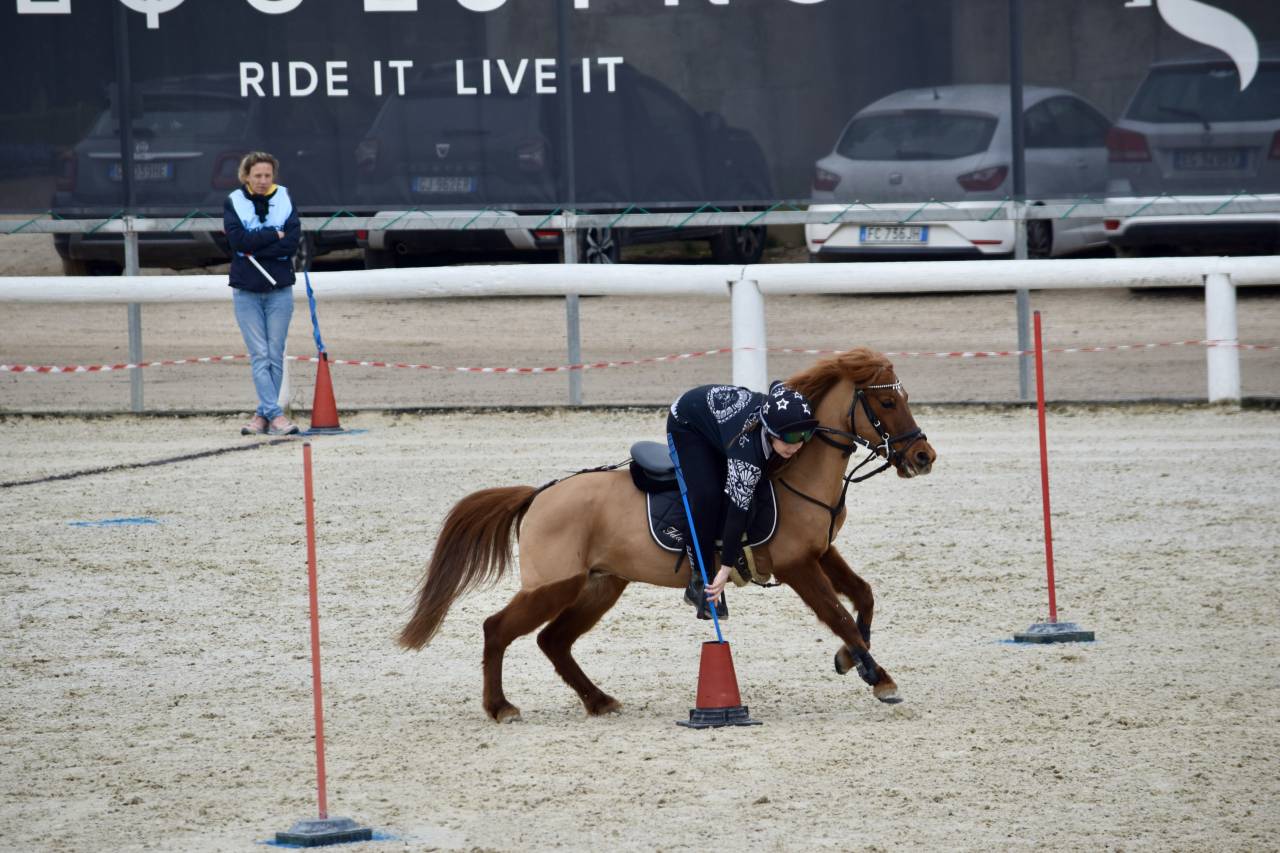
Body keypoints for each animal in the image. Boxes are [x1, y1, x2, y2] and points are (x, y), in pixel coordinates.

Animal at [398, 347, 937, 722]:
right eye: (886, 400)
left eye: (906, 397)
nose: (923, 456)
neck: (791, 469)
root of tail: (539, 495)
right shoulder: (797, 565)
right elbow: (839, 614)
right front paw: (880, 677)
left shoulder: (821, 551)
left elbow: (863, 597)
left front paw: (852, 659)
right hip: (554, 585)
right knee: (497, 629)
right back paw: (500, 707)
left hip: (601, 585)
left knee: (554, 641)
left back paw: (599, 700)